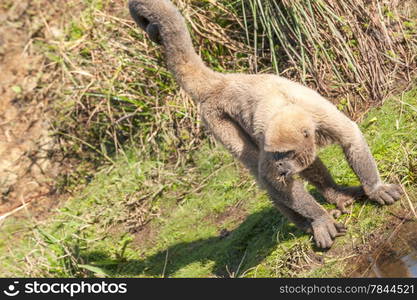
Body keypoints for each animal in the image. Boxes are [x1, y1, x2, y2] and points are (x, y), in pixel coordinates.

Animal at [128, 0, 402, 248]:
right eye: (278, 154)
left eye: (287, 152)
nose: (281, 163)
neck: (287, 107)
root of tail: (222, 82)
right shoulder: (267, 134)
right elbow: (271, 178)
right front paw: (320, 220)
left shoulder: (319, 113)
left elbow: (350, 137)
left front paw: (374, 188)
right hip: (215, 119)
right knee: (258, 171)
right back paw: (307, 224)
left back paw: (335, 195)